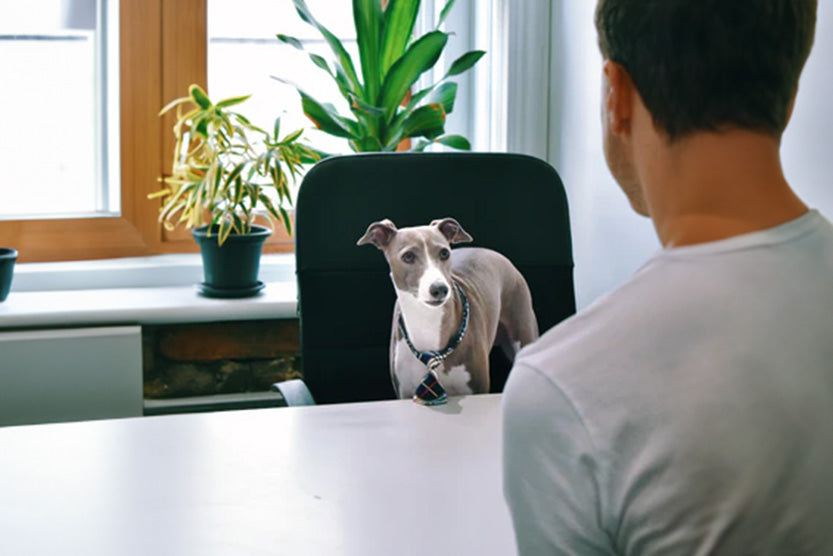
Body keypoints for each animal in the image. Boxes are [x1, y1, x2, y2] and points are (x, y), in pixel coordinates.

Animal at [354, 217, 536, 404]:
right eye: (408, 256)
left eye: (444, 253)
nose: (439, 288)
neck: (428, 324)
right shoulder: (404, 391)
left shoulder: (477, 389)